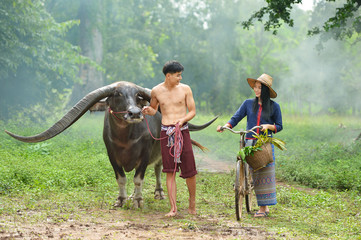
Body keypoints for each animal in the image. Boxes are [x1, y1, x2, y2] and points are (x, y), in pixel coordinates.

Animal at [4, 81, 217, 207]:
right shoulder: (111, 155)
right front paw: (121, 200)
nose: (135, 113)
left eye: (138, 96)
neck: (125, 139)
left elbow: (138, 178)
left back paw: (159, 193)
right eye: (117, 95)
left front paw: (138, 200)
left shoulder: (145, 155)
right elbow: (121, 178)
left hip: (163, 150)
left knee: (158, 170)